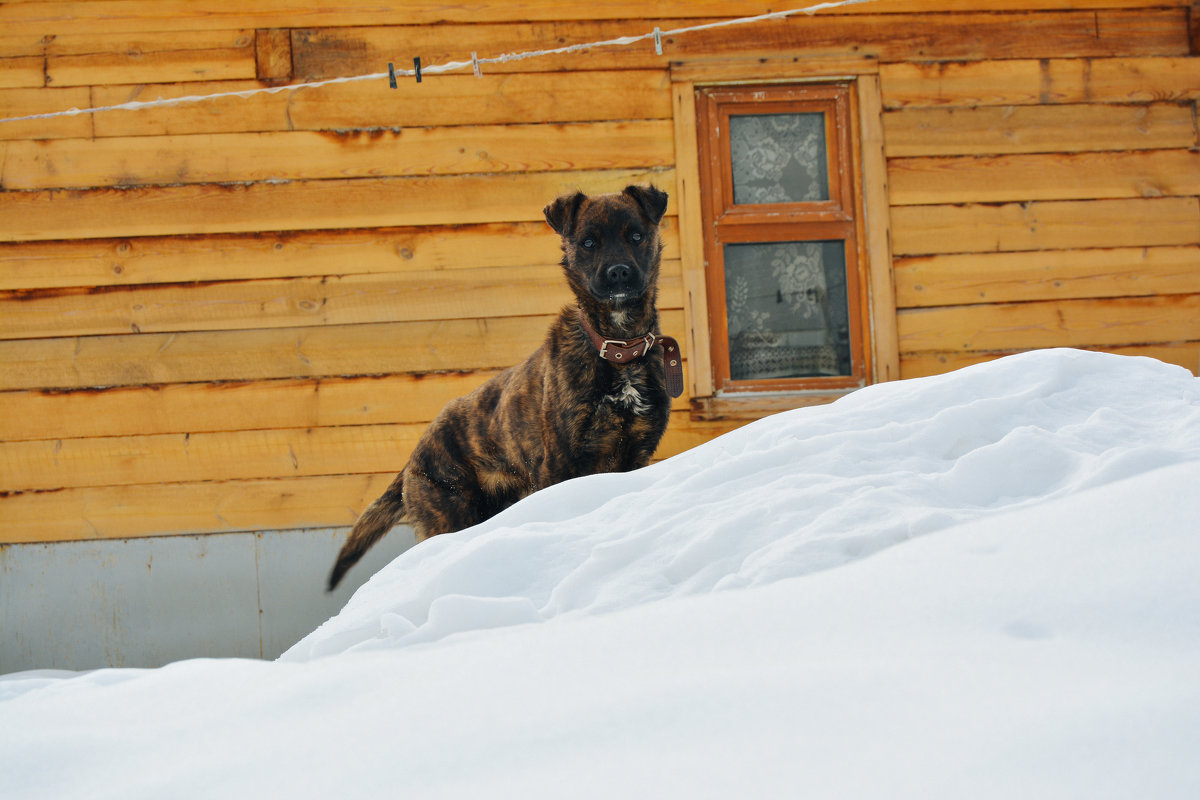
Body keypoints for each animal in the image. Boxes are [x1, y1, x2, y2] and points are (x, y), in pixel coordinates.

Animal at [328, 184, 681, 592]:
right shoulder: (561, 463)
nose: (619, 272)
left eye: (636, 236)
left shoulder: (637, 453)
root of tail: (413, 458)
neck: (617, 349)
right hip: (449, 515)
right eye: (589, 242)